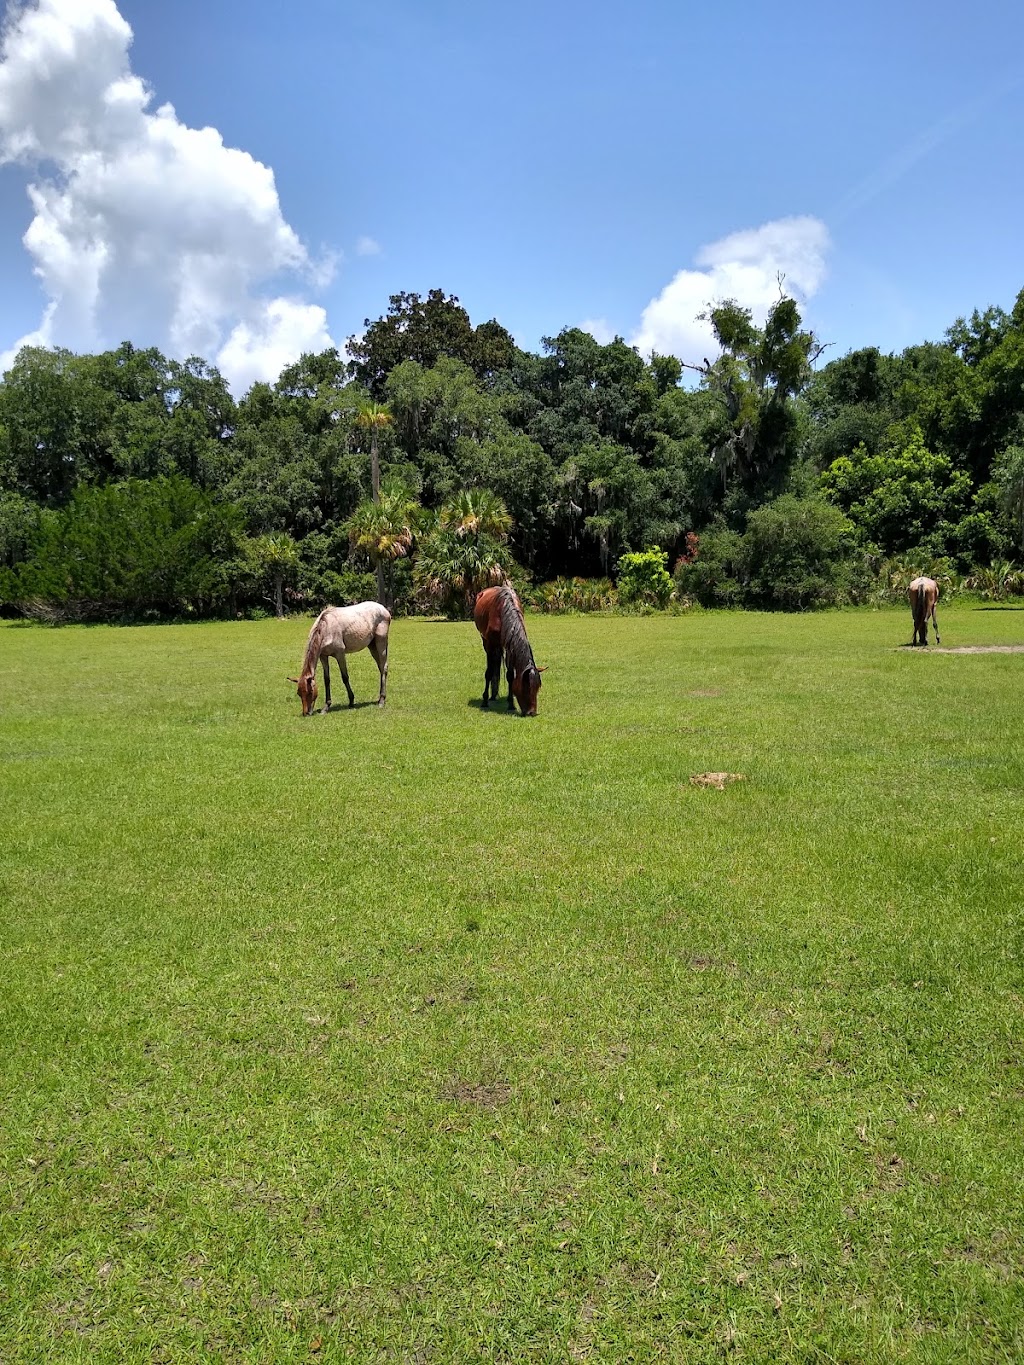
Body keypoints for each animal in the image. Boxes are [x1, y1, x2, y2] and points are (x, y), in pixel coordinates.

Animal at [477, 584, 548, 715]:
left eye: (537, 688)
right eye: (526, 688)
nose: (532, 712)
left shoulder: (510, 647)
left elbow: (510, 675)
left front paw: (511, 704)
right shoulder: (490, 645)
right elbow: (489, 672)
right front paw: (484, 701)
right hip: (486, 641)